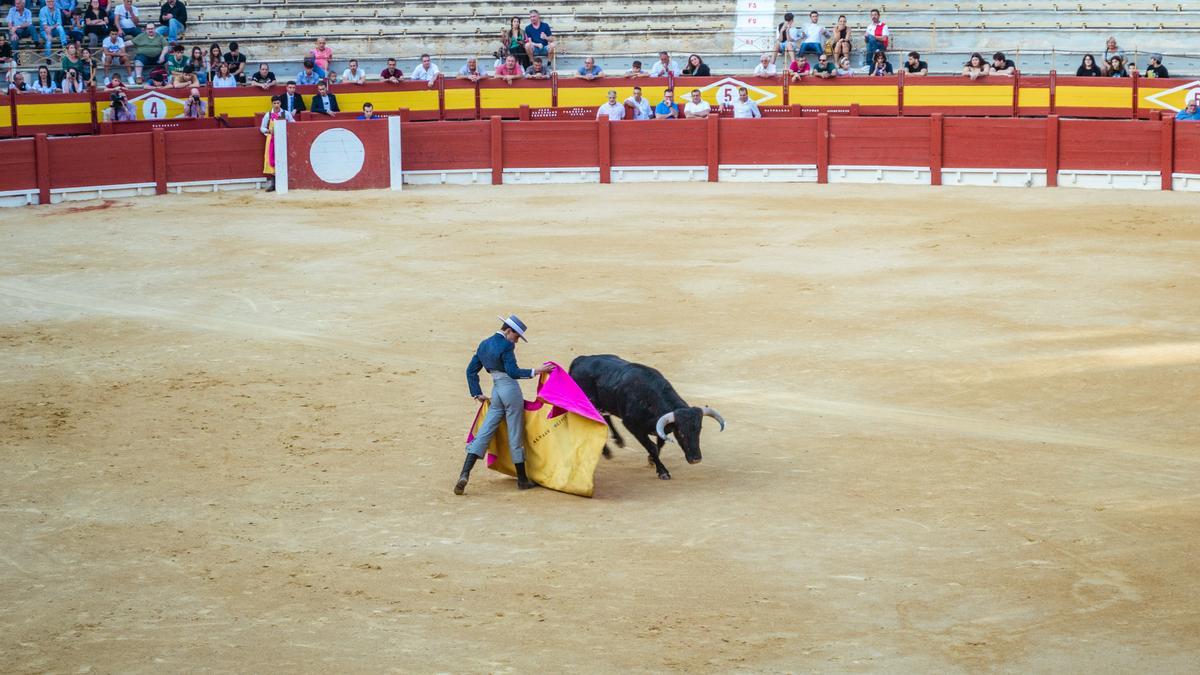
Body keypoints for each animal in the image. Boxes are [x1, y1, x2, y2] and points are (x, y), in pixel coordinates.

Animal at [568, 353, 724, 478]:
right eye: (680, 432)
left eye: (699, 429)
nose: (696, 459)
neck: (650, 400)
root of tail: (579, 360)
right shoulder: (632, 426)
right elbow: (652, 447)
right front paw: (662, 472)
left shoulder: (661, 427)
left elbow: (660, 443)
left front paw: (651, 460)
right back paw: (606, 451)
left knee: (605, 417)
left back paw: (618, 441)